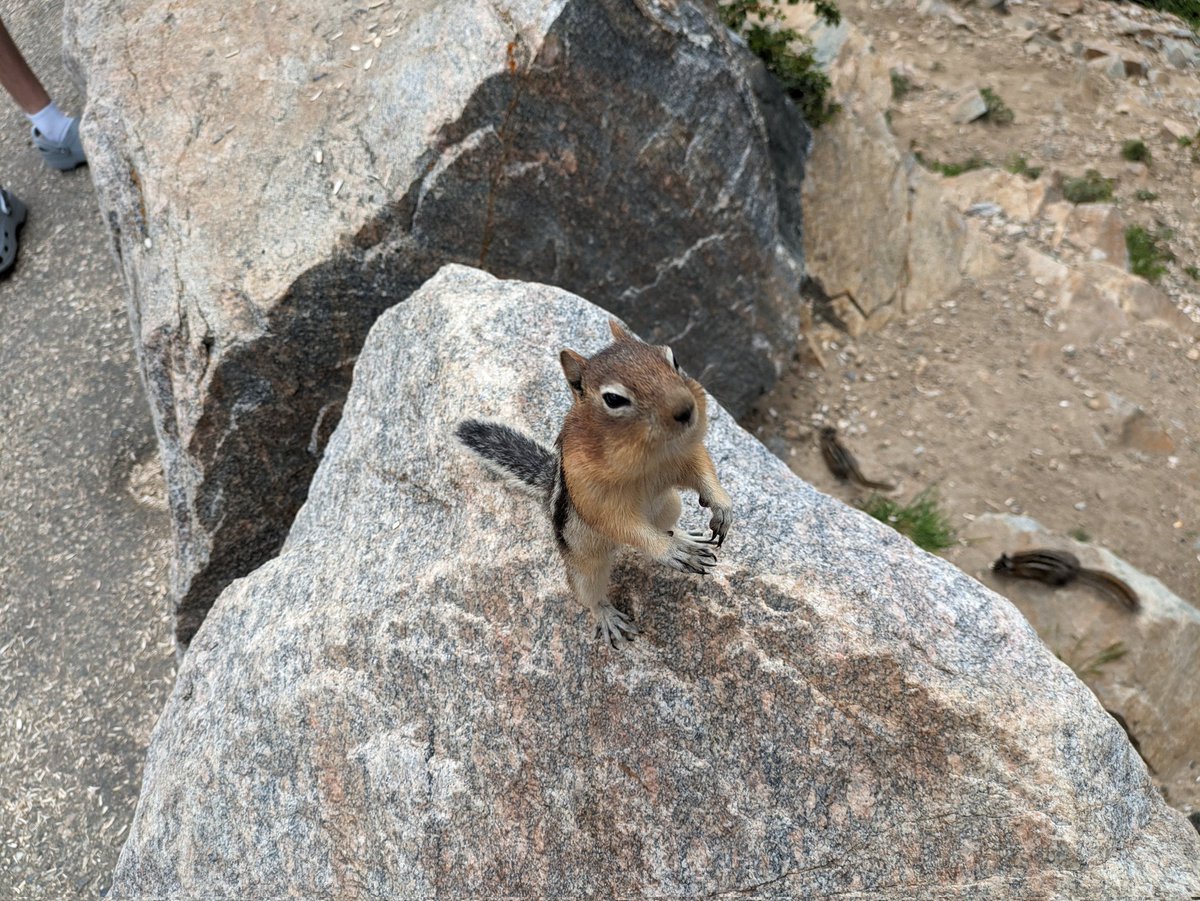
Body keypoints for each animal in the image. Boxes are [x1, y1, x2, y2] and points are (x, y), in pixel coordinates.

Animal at [456, 319, 733, 647]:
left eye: (674, 359)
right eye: (613, 399)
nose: (687, 409)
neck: (651, 453)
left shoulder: (687, 453)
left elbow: (703, 470)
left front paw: (722, 507)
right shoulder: (593, 494)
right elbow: (621, 523)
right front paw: (668, 551)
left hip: (670, 503)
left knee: (665, 524)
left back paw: (685, 537)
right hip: (583, 562)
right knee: (588, 592)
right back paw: (608, 615)